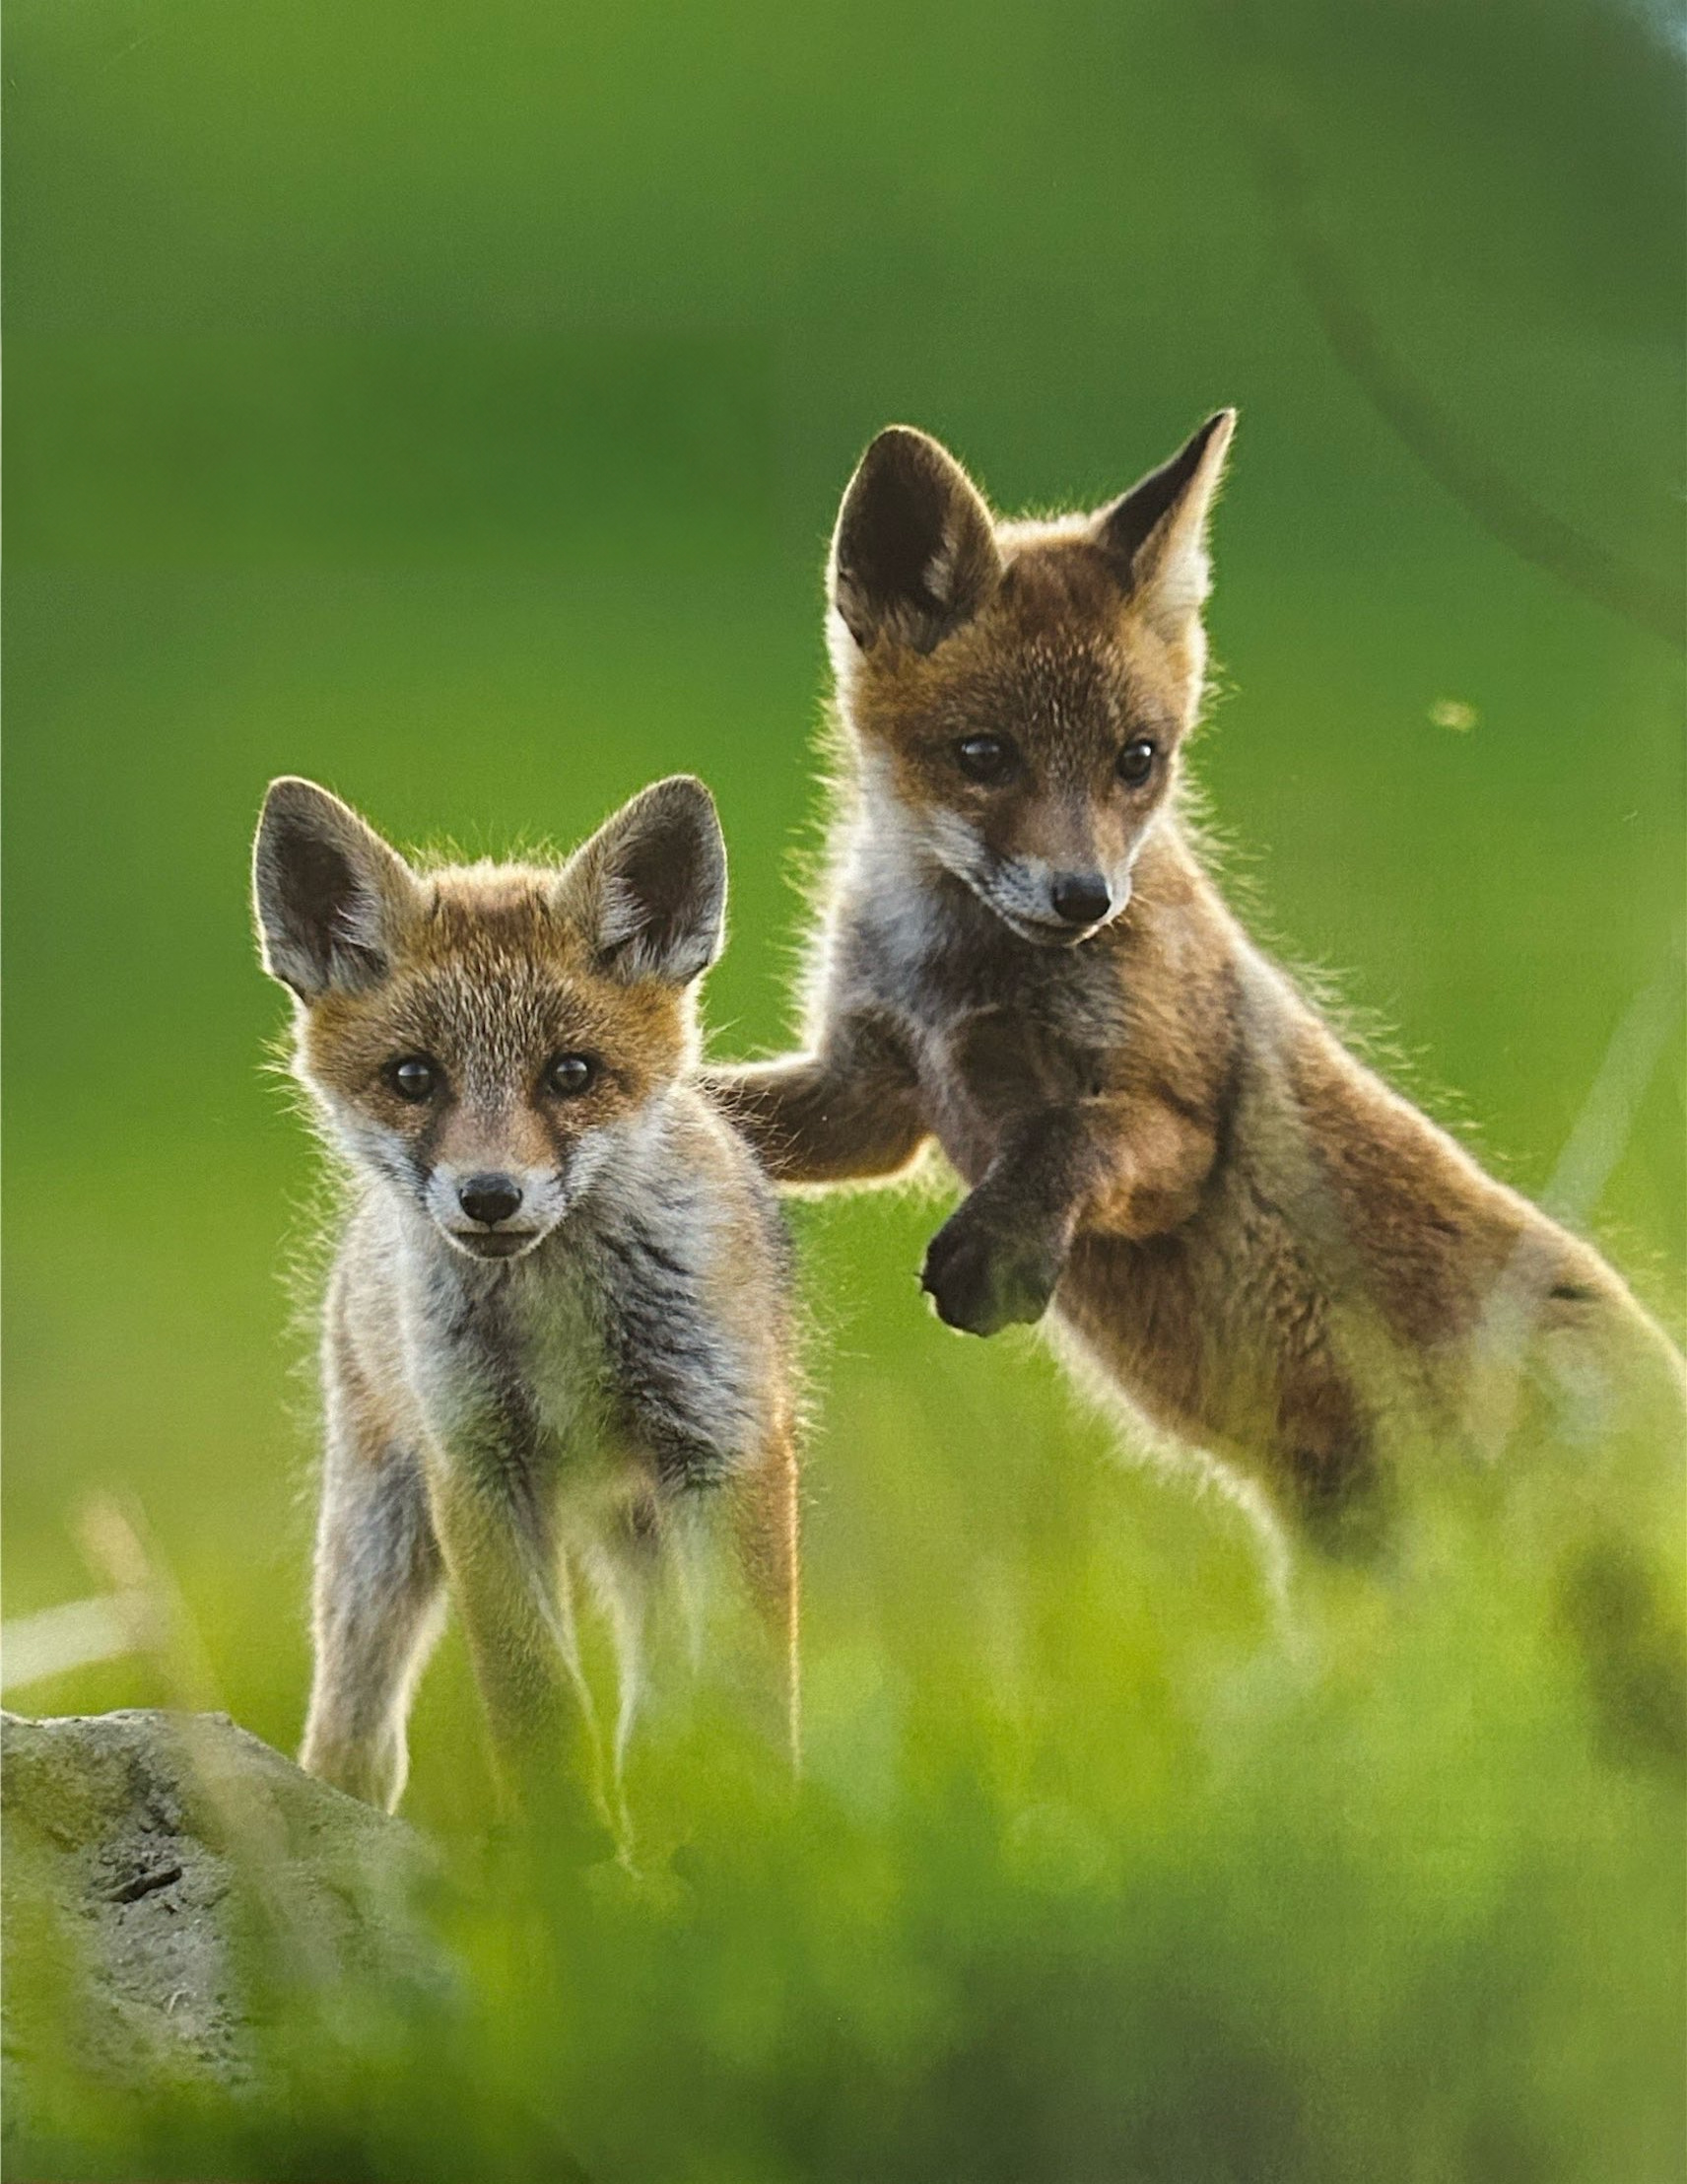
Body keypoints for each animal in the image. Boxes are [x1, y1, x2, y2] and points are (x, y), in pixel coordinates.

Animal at [252, 773, 800, 1840]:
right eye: (413, 1077)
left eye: (571, 1074)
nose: (490, 1196)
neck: (561, 1322)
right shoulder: (476, 1466)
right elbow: (536, 1705)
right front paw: (569, 1864)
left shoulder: (727, 1445)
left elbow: (752, 1692)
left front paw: (770, 1846)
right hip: (381, 1532)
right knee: (353, 1732)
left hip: (650, 1527)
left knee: (664, 1714)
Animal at [705, 411, 1685, 1549]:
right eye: (983, 754)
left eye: (1137, 759)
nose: (1083, 898)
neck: (958, 980)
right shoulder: (870, 1094)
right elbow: (728, 1108)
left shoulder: (1177, 1131)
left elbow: (1068, 1136)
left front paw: (1000, 1242)